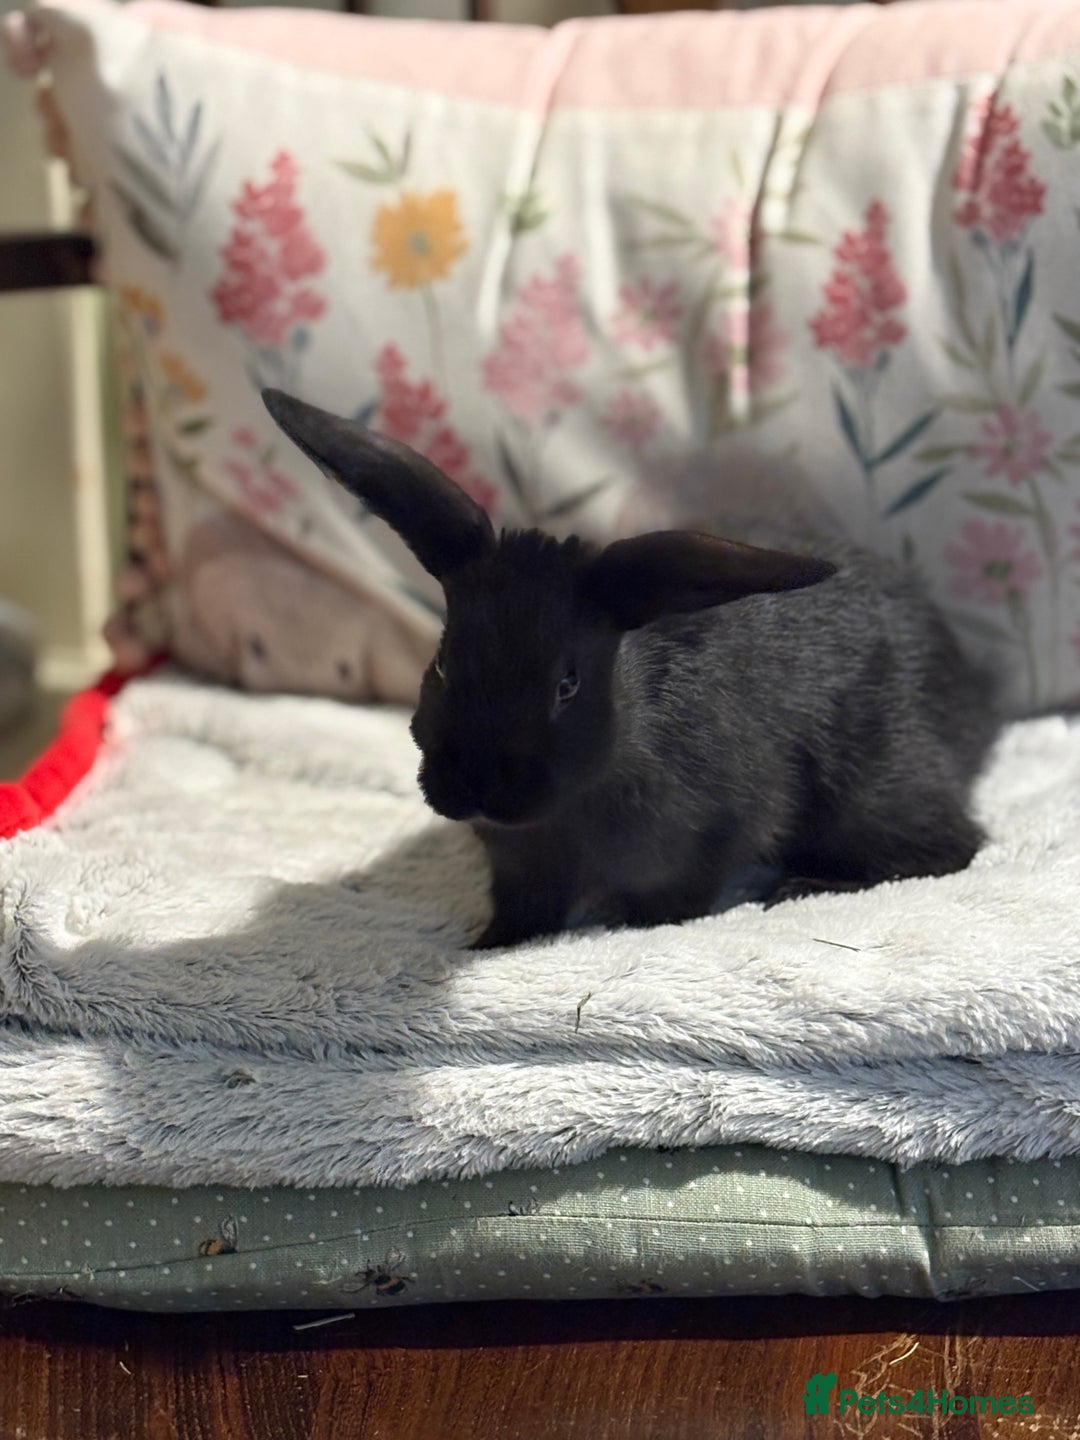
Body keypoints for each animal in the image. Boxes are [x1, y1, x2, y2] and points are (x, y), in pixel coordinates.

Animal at [262, 389, 1000, 950]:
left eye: (567, 683)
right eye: (442, 661)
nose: (477, 786)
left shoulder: (714, 836)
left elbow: (676, 901)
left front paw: (626, 923)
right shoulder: (518, 869)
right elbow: (520, 912)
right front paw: (489, 944)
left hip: (869, 789)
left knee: (954, 846)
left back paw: (806, 886)